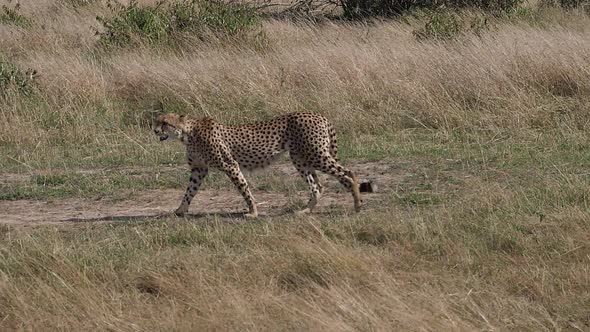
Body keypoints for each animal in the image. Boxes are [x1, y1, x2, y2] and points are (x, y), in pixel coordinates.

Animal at [153, 113, 364, 219]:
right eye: (156, 121)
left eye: (165, 123)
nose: (154, 131)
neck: (188, 133)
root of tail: (317, 114)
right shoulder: (199, 169)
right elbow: (189, 191)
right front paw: (180, 210)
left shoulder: (230, 165)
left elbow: (244, 189)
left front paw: (253, 212)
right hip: (300, 158)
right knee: (317, 186)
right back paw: (305, 211)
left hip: (315, 154)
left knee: (348, 173)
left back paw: (358, 205)